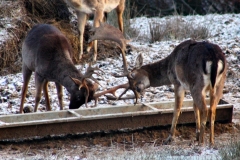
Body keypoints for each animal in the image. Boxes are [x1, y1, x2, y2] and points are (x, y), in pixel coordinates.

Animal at [88, 23, 227, 146]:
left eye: (133, 75)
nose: (138, 89)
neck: (169, 66)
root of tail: (215, 58)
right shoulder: (188, 86)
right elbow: (194, 107)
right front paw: (196, 137)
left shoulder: (178, 83)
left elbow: (177, 109)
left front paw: (170, 138)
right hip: (218, 83)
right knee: (212, 109)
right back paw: (211, 142)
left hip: (197, 83)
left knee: (205, 109)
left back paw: (202, 144)